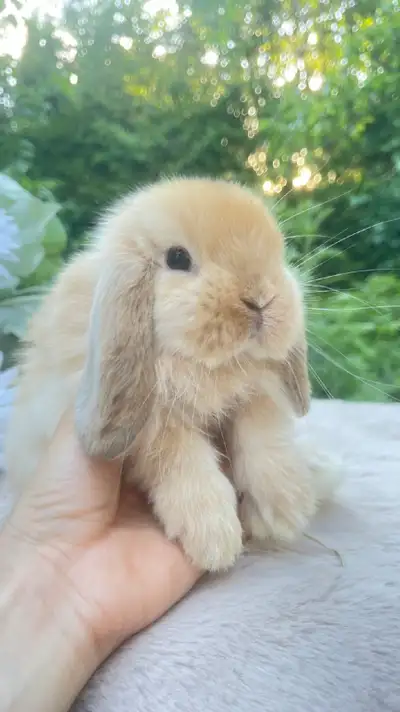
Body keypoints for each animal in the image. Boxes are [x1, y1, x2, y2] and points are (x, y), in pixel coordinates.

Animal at [4, 177, 337, 571]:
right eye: (177, 258)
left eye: (277, 255)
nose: (260, 300)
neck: (208, 365)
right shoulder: (154, 426)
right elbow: (179, 459)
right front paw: (213, 536)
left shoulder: (258, 393)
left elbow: (263, 433)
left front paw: (285, 506)